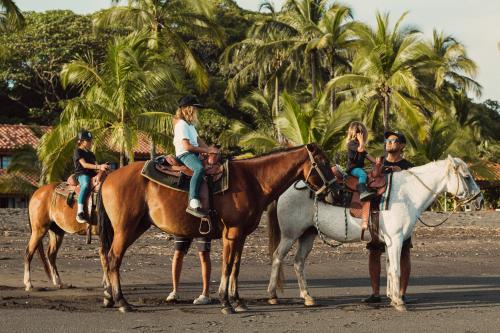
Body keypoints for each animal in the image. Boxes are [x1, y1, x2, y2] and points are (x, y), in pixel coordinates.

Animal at [96, 143, 336, 312]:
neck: (253, 180)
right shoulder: (232, 233)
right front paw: (225, 303)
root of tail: (110, 175)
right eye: (323, 162)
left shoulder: (241, 235)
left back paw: (110, 298)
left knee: (108, 257)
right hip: (126, 228)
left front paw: (237, 301)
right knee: (114, 258)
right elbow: (227, 266)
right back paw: (122, 302)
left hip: (137, 226)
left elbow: (236, 267)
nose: (336, 192)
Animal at [268, 156, 482, 308]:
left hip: (308, 234)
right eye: (467, 177)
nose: (479, 200)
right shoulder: (395, 239)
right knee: (277, 257)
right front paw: (399, 302)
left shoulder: (390, 241)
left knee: (298, 262)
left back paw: (307, 297)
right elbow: (395, 269)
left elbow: (389, 268)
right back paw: (272, 295)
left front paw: (393, 297)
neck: (407, 194)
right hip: (290, 235)